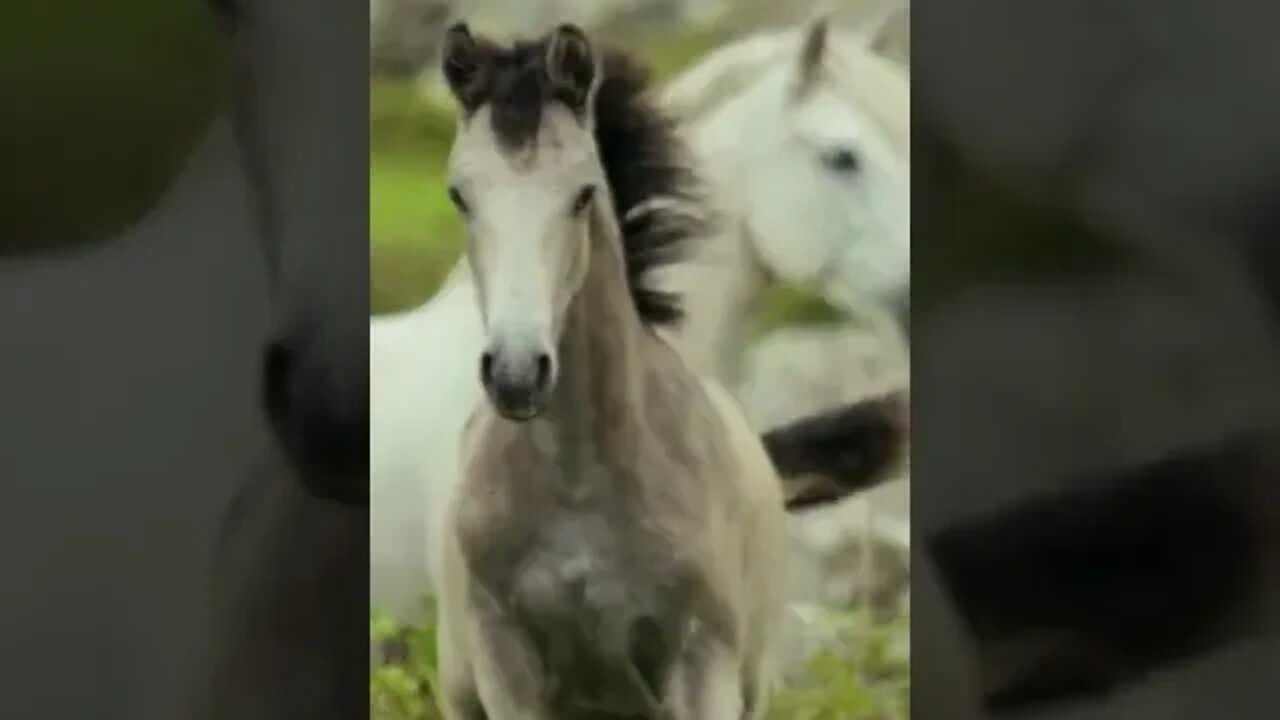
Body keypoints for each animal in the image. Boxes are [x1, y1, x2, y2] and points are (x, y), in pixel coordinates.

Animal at [433, 23, 789, 718]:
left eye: (582, 195)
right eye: (460, 195)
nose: (517, 372)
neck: (580, 485)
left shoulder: (702, 663)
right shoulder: (505, 667)